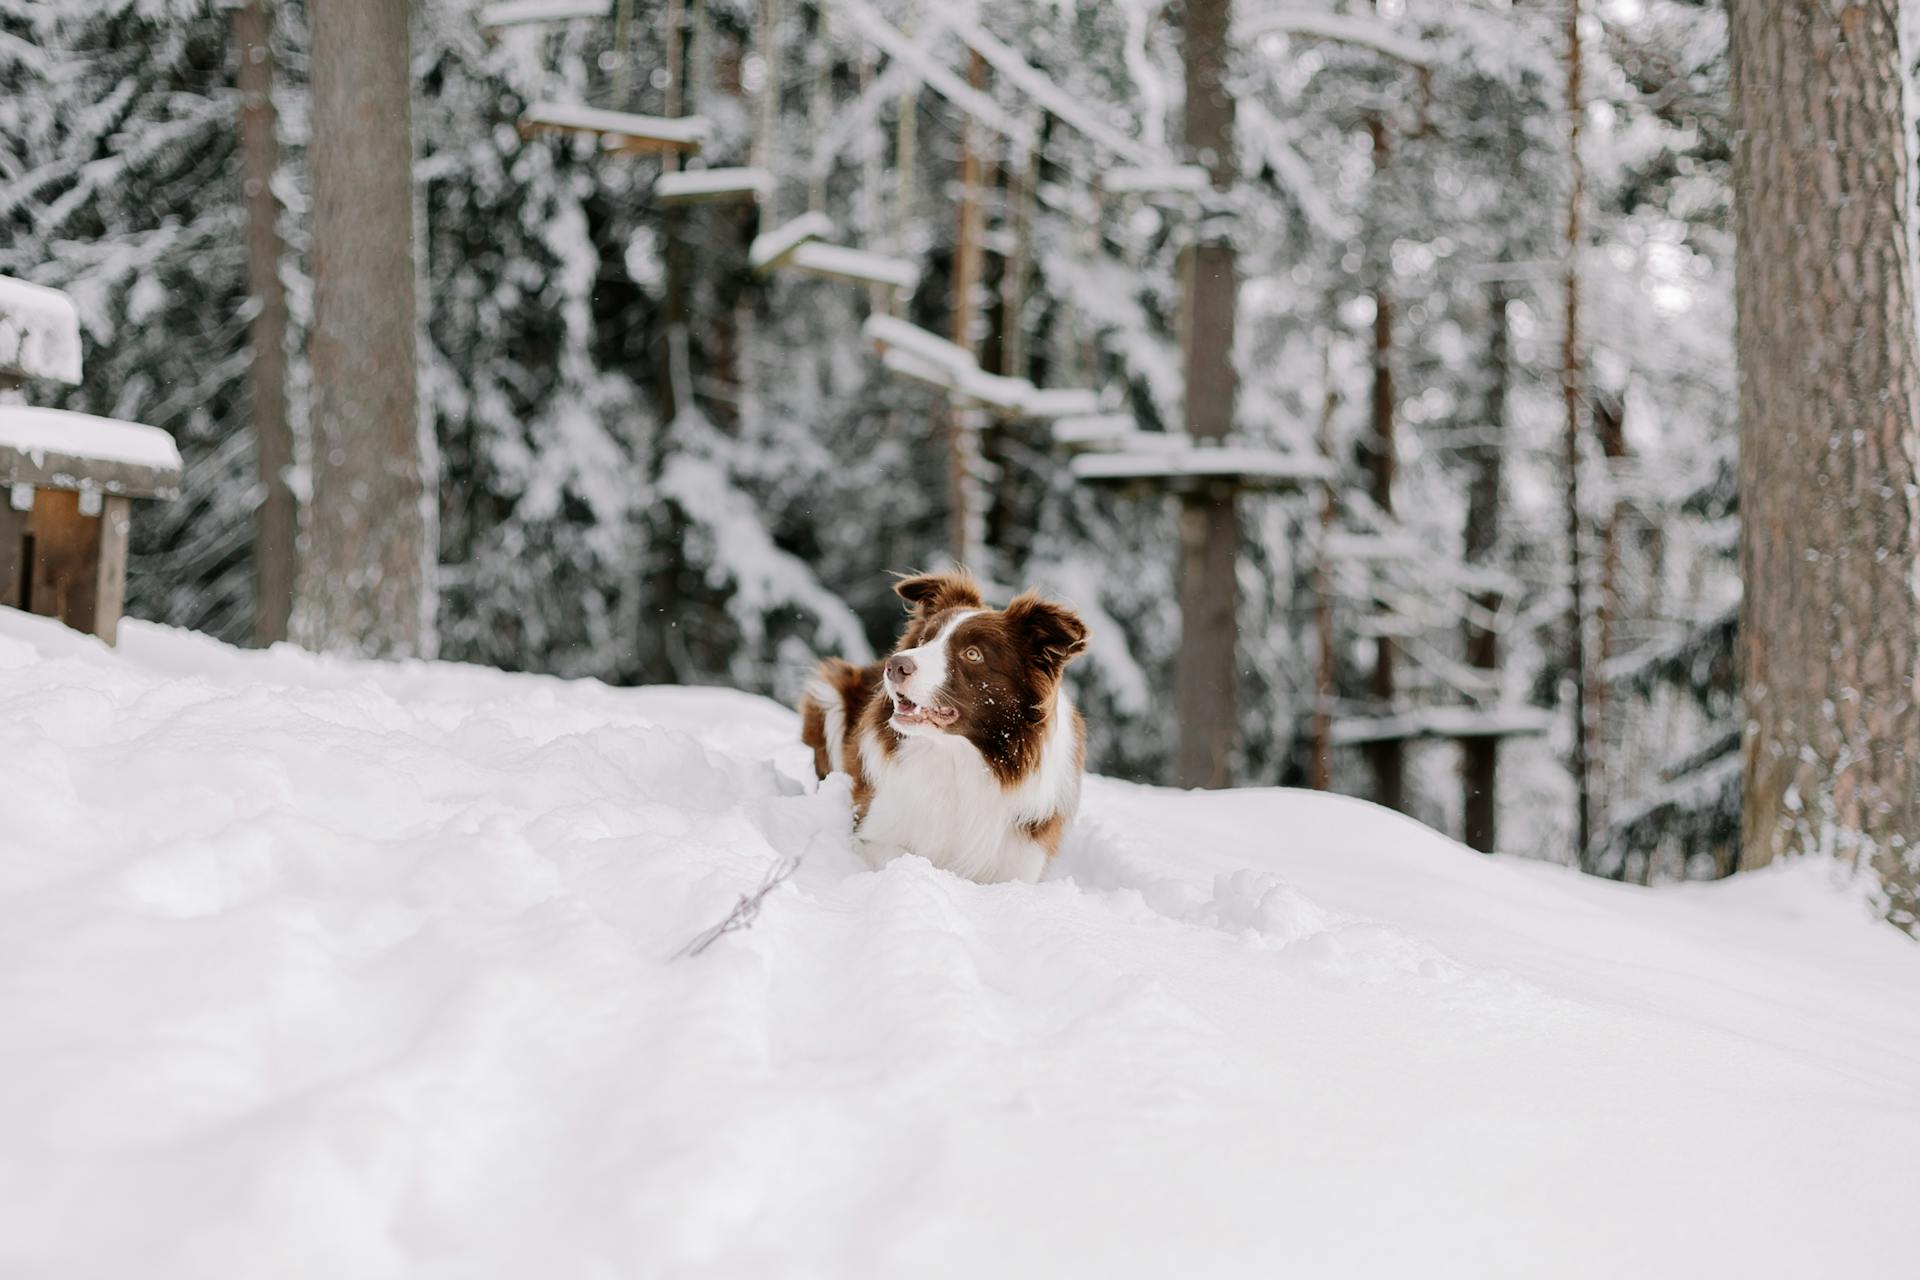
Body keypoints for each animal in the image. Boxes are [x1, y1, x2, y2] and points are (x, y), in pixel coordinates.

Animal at [798, 575, 1090, 886]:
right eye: (924, 639)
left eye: (973, 654)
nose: (895, 665)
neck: (955, 758)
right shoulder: (876, 832)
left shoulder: (1018, 865)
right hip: (828, 693)